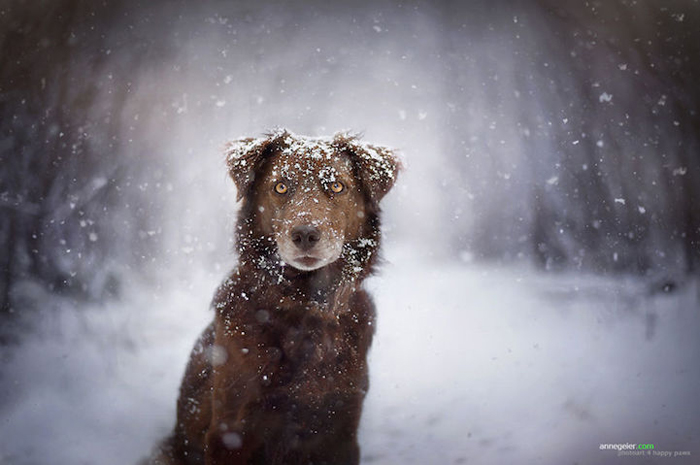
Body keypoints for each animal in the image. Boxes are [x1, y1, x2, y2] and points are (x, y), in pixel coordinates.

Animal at [148, 130, 400, 464]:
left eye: (337, 186)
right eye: (280, 187)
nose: (305, 234)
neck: (304, 309)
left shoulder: (342, 430)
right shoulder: (230, 432)